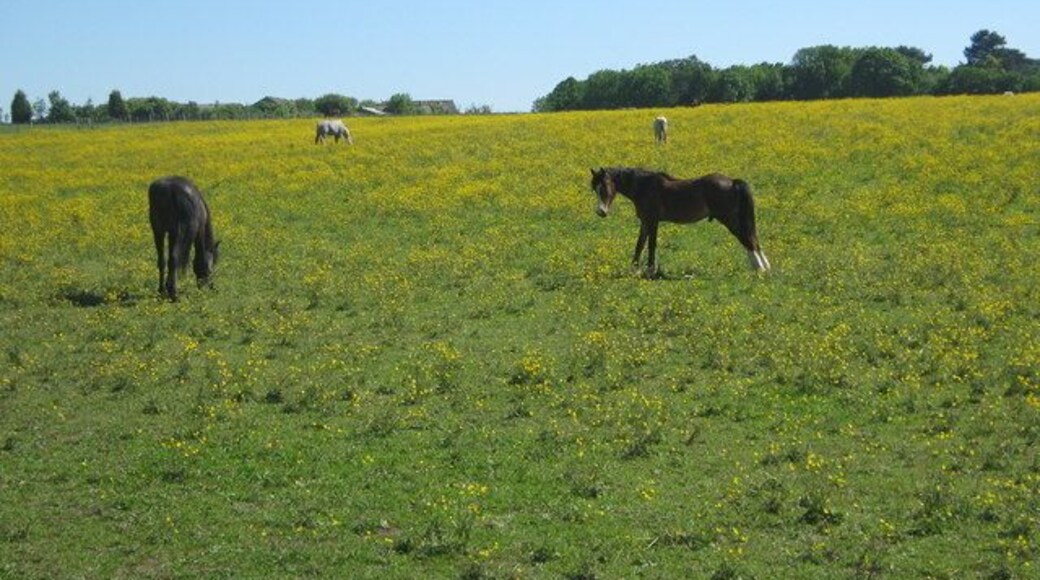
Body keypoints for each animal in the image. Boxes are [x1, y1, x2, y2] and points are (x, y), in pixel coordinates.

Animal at [589, 167, 771, 277]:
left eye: (604, 186)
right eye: (594, 189)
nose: (601, 212)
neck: (644, 187)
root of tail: (732, 182)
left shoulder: (653, 221)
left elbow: (651, 245)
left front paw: (650, 271)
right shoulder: (645, 222)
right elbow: (639, 245)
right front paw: (634, 270)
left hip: (729, 219)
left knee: (748, 240)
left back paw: (760, 269)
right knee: (753, 239)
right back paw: (763, 267)